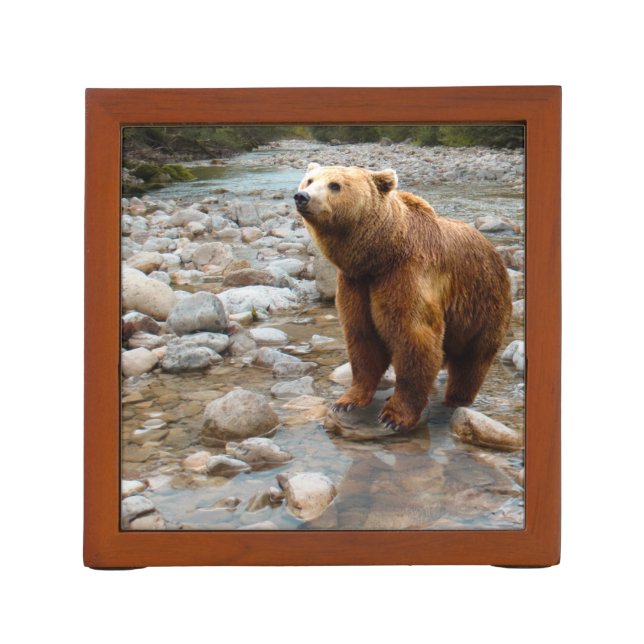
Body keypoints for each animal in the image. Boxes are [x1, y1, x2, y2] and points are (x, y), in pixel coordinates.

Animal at [294, 162, 512, 433]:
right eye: (310, 180)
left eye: (335, 185)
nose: (302, 196)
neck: (379, 255)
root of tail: (494, 250)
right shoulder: (356, 284)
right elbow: (362, 338)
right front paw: (346, 401)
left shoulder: (405, 275)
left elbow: (413, 338)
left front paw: (393, 416)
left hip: (482, 303)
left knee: (472, 359)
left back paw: (456, 398)